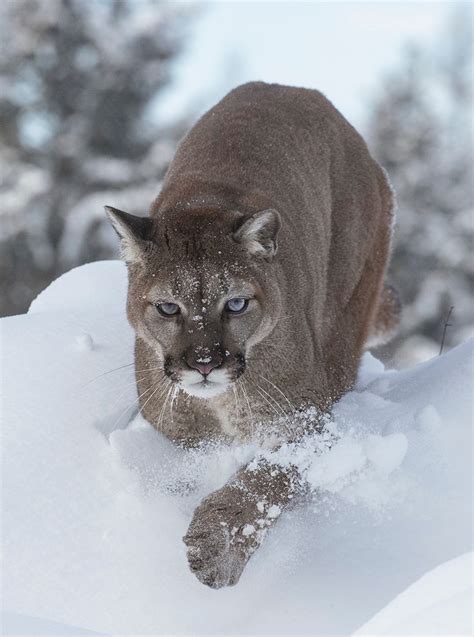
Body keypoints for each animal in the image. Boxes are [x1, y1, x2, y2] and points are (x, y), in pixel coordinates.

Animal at [105, 82, 398, 588]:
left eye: (236, 304)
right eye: (168, 307)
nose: (205, 363)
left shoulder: (303, 419)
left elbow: (265, 480)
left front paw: (217, 547)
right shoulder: (179, 438)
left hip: (343, 324)